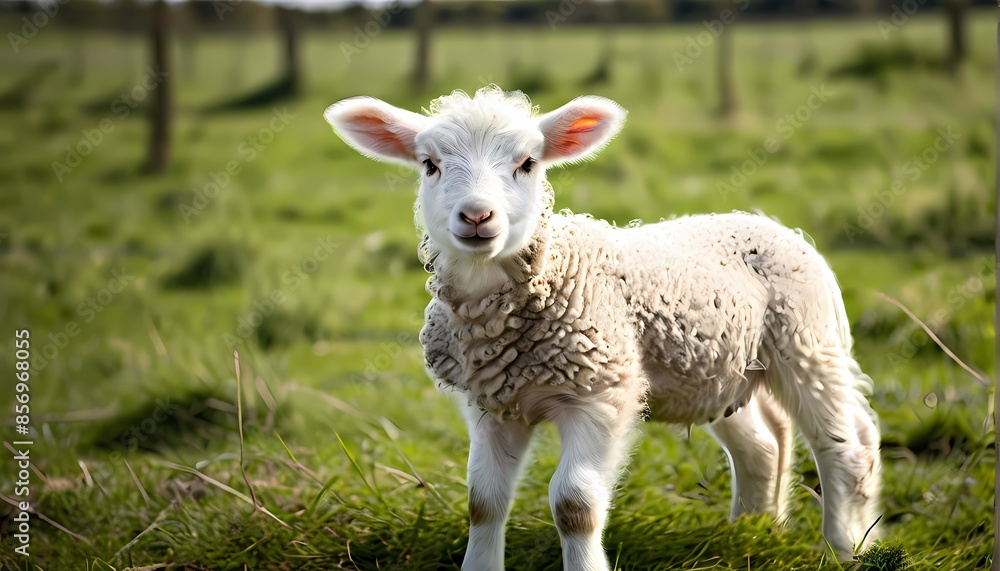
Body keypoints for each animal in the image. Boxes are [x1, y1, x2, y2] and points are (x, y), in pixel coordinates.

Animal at [324, 85, 882, 571]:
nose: (477, 216)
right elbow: (483, 501)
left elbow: (575, 505)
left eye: (527, 164)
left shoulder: (601, 392)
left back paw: (844, 545)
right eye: (430, 164)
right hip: (720, 369)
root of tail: (771, 223)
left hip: (807, 341)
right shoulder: (491, 401)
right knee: (764, 446)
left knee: (845, 444)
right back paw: (750, 532)